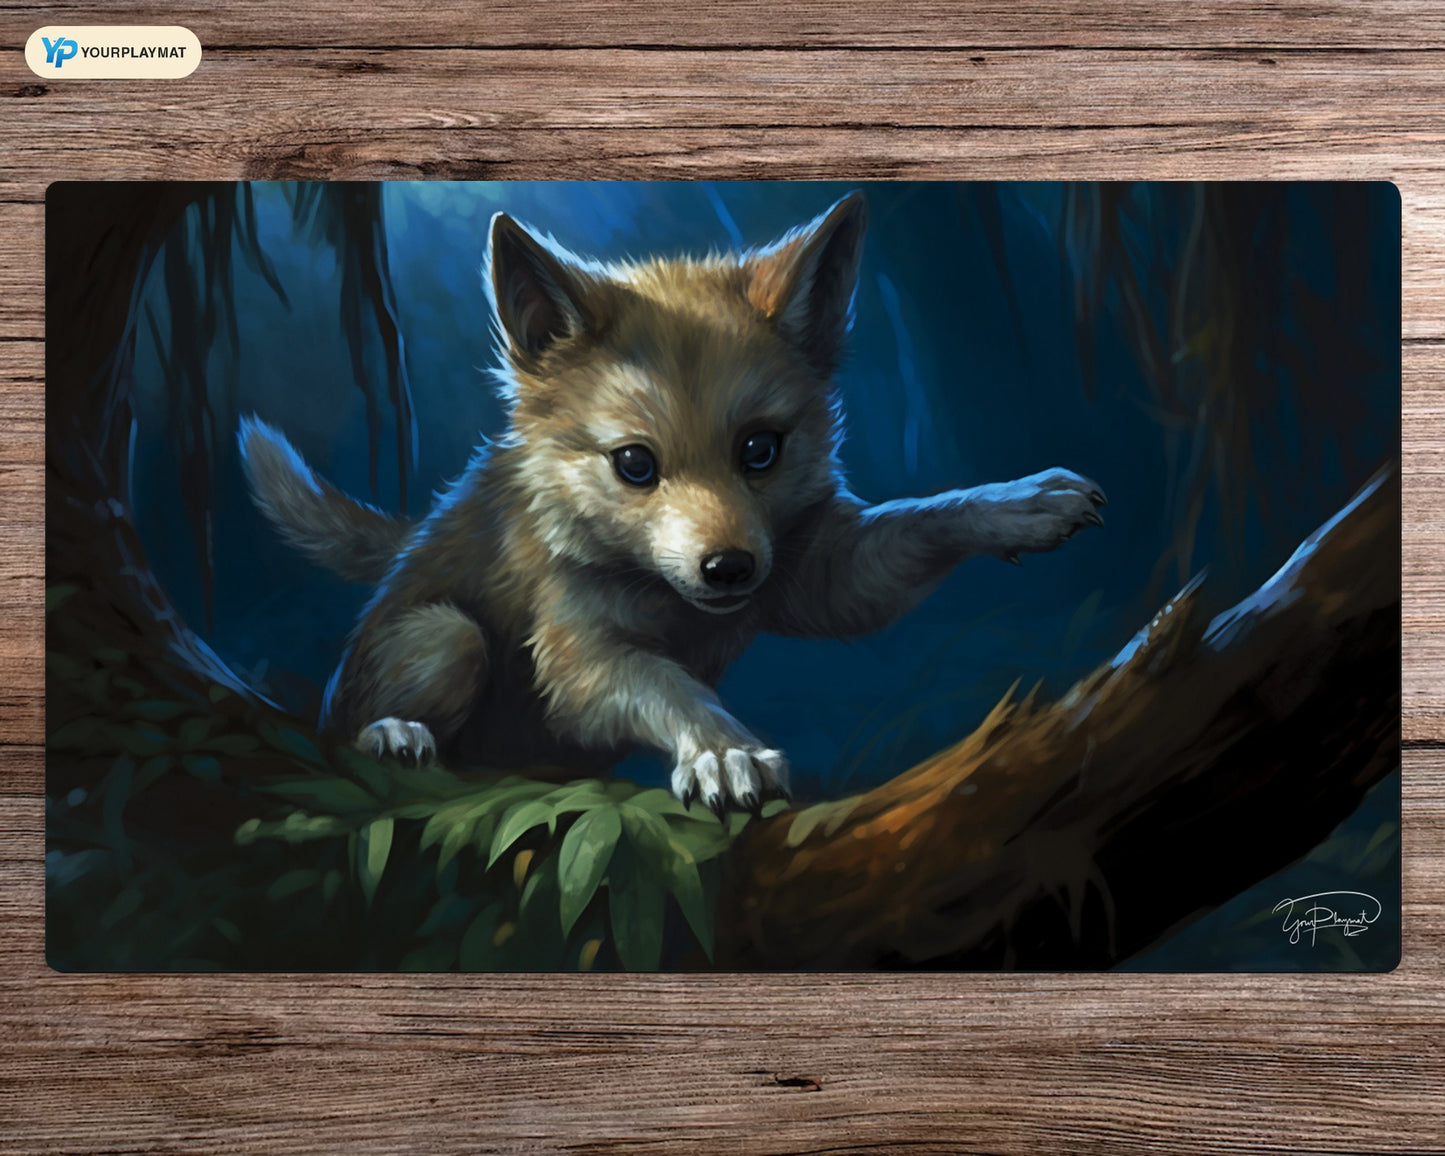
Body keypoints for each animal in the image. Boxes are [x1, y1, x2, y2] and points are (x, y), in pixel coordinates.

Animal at [240, 193, 1105, 815]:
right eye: (633, 464)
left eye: (759, 450)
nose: (729, 570)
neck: (666, 600)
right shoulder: (582, 662)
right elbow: (669, 686)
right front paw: (723, 752)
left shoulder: (820, 574)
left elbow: (922, 517)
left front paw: (1026, 501)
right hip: (444, 637)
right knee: (359, 709)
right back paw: (393, 732)